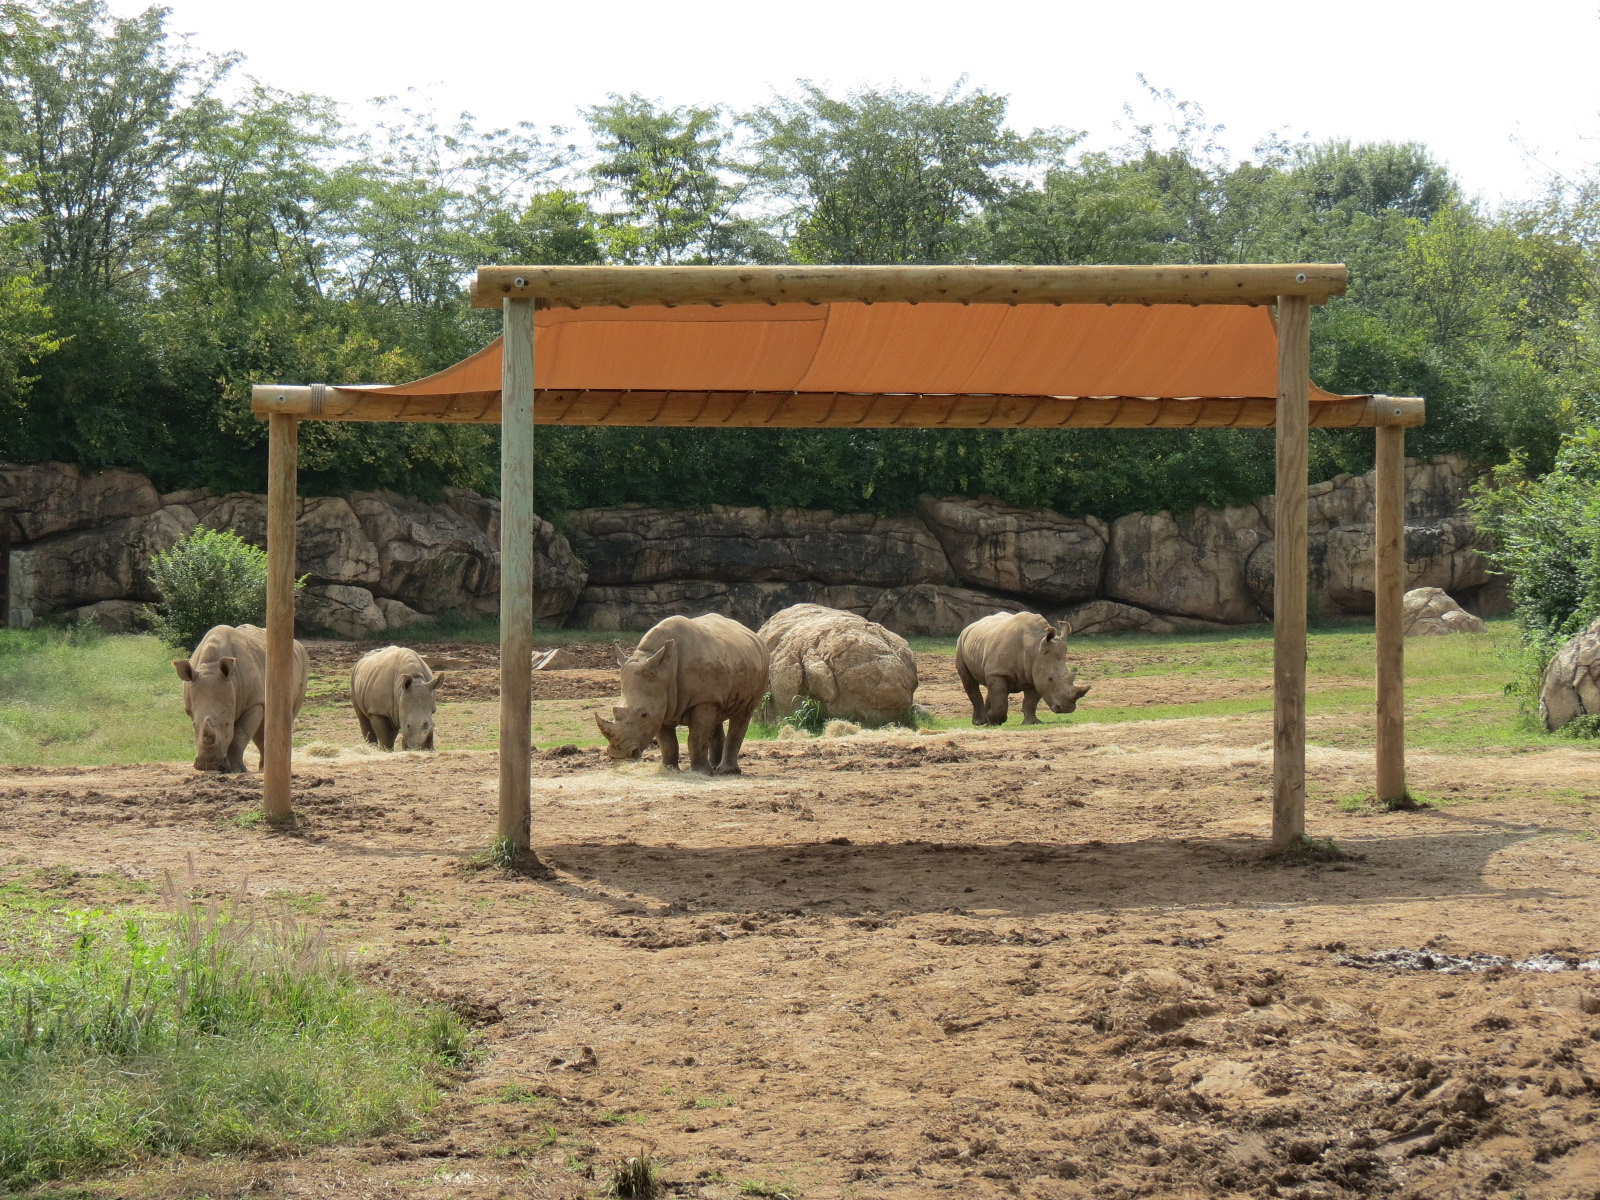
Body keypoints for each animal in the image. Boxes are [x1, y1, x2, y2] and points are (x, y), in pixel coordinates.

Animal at [173, 623, 309, 772]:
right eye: (193, 725)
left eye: (227, 724)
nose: (208, 766)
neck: (211, 666)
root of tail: (298, 643)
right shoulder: (192, 707)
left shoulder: (253, 703)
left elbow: (240, 735)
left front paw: (237, 770)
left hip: (303, 663)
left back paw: (269, 769)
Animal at [595, 613, 769, 775]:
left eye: (643, 715)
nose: (618, 754)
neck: (665, 670)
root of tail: (755, 635)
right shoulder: (662, 702)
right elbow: (667, 743)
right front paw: (667, 769)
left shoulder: (702, 700)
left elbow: (697, 737)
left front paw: (700, 772)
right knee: (717, 714)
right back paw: (714, 767)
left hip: (761, 667)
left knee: (743, 714)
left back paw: (726, 771)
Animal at [955, 611, 1089, 726]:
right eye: (1050, 679)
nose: (1067, 709)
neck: (1035, 647)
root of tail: (971, 625)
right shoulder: (999, 672)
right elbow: (1000, 703)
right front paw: (994, 720)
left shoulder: (1036, 674)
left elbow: (1030, 702)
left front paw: (1032, 722)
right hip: (961, 643)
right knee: (970, 682)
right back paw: (980, 722)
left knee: (991, 687)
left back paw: (986, 719)